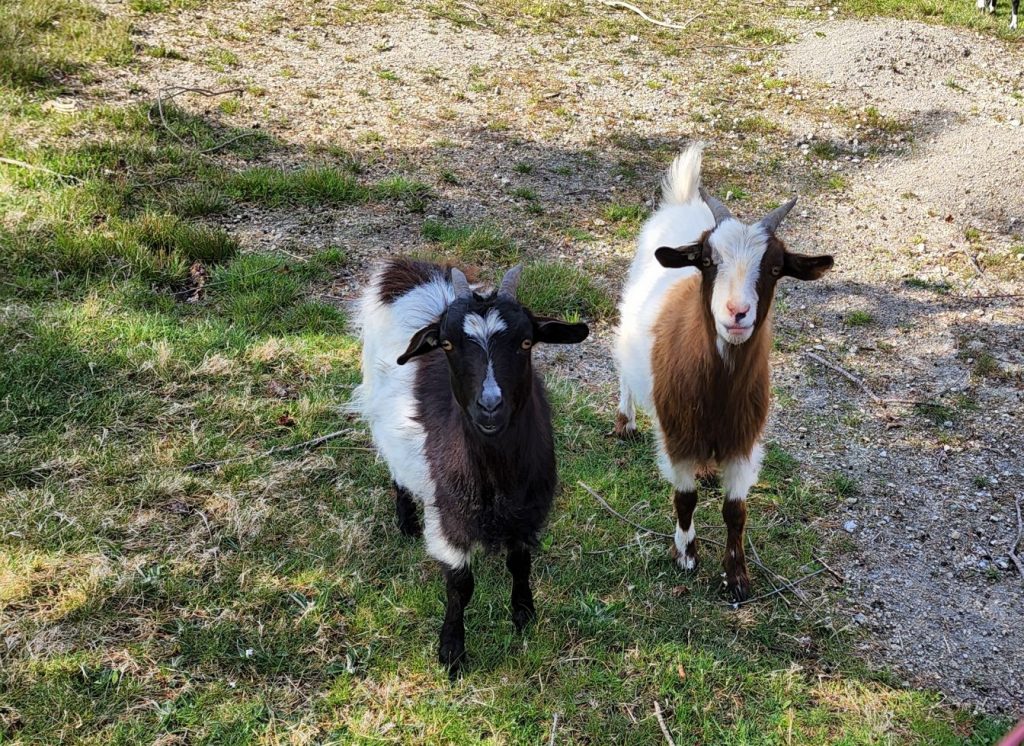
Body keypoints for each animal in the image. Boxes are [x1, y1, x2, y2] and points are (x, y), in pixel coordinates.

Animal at [356, 258, 589, 671]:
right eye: (447, 344)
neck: (496, 476)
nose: (490, 406)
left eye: (526, 342)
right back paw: (406, 522)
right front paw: (452, 651)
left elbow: (520, 563)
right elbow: (460, 586)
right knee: (394, 465)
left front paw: (523, 614)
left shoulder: (527, 513)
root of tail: (404, 267)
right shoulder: (449, 517)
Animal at [610, 144, 835, 597]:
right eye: (708, 261)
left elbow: (736, 510)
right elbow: (685, 499)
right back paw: (625, 421)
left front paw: (737, 576)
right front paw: (686, 555)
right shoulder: (677, 435)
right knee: (624, 365)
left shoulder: (742, 440)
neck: (716, 387)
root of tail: (683, 202)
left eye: (775, 268)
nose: (737, 313)